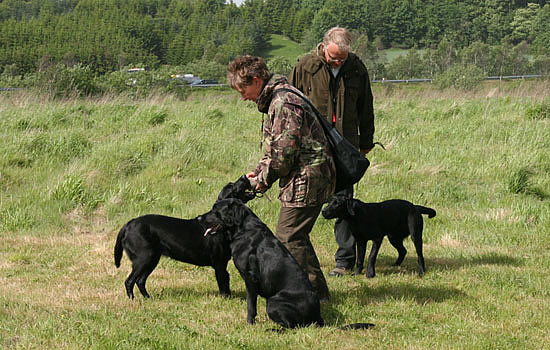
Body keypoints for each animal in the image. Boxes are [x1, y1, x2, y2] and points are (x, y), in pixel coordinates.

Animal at [115, 175, 258, 298]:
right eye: (232, 185)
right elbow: (223, 283)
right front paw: (226, 299)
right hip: (144, 258)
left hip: (151, 259)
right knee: (129, 281)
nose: (245, 176)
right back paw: (132, 300)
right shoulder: (219, 263)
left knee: (140, 281)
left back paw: (148, 298)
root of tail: (128, 224)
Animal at [198, 198, 376, 330]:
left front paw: (249, 324)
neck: (244, 229)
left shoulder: (250, 279)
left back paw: (272, 329)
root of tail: (318, 317)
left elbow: (250, 306)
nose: (199, 218)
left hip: (273, 301)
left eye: (215, 211)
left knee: (291, 326)